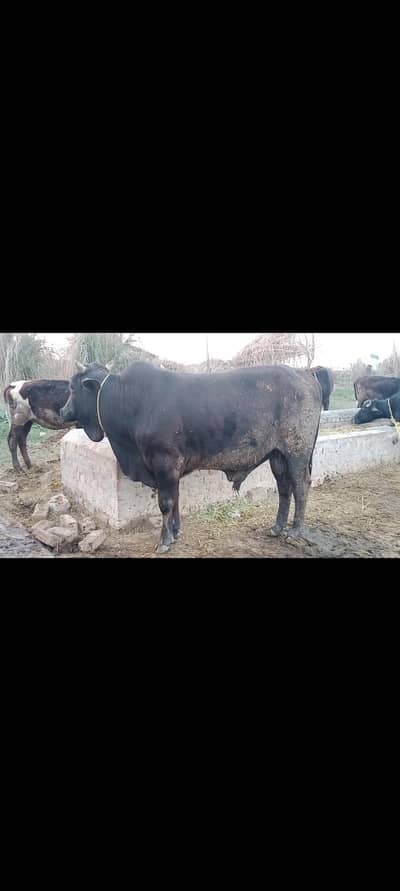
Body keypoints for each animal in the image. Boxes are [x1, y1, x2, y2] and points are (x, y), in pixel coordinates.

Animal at [60, 361, 323, 554]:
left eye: (72, 388)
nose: (63, 411)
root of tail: (305, 372)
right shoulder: (172, 469)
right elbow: (176, 498)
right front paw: (175, 532)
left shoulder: (164, 462)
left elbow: (166, 502)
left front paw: (164, 540)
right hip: (277, 455)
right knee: (284, 487)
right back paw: (277, 527)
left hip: (297, 451)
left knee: (301, 486)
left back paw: (294, 531)